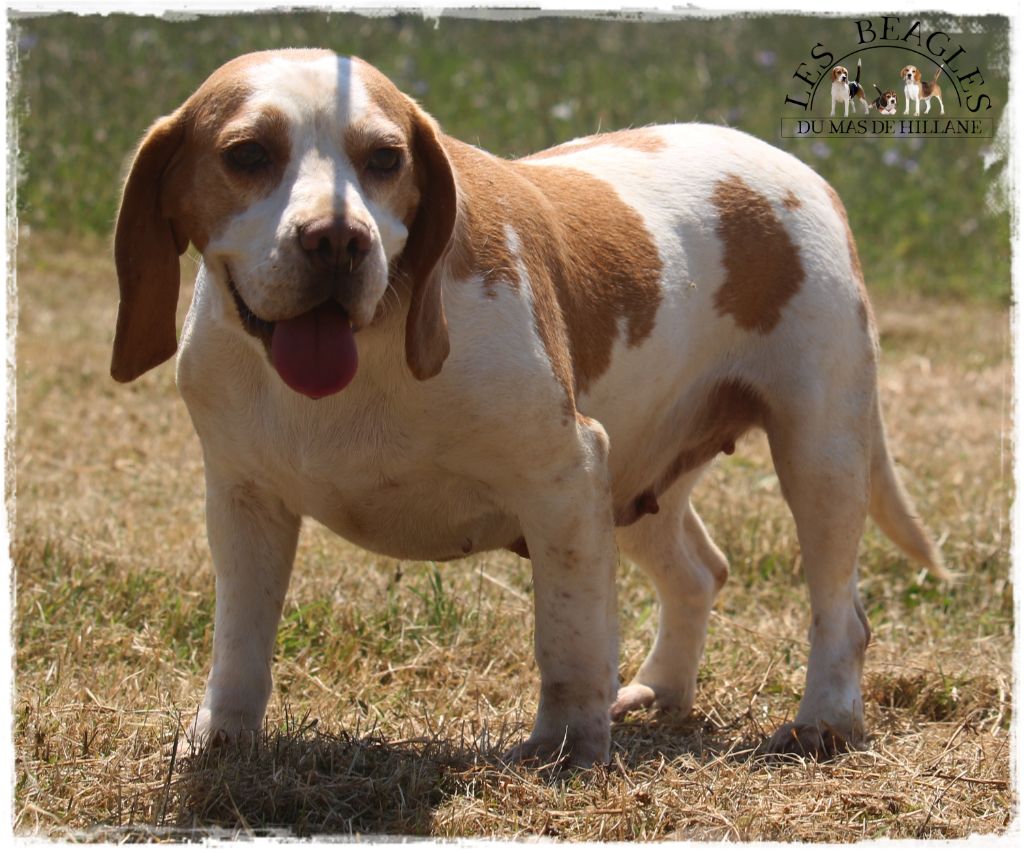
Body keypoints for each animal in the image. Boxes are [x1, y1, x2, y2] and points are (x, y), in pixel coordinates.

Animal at [112, 48, 942, 765]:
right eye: (248, 154)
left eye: (385, 158)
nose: (338, 240)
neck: (377, 338)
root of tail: (807, 175)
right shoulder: (244, 500)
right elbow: (240, 640)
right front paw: (219, 739)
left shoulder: (563, 480)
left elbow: (567, 638)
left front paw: (565, 747)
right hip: (637, 486)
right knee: (700, 573)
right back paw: (661, 690)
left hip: (818, 454)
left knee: (840, 615)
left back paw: (824, 718)